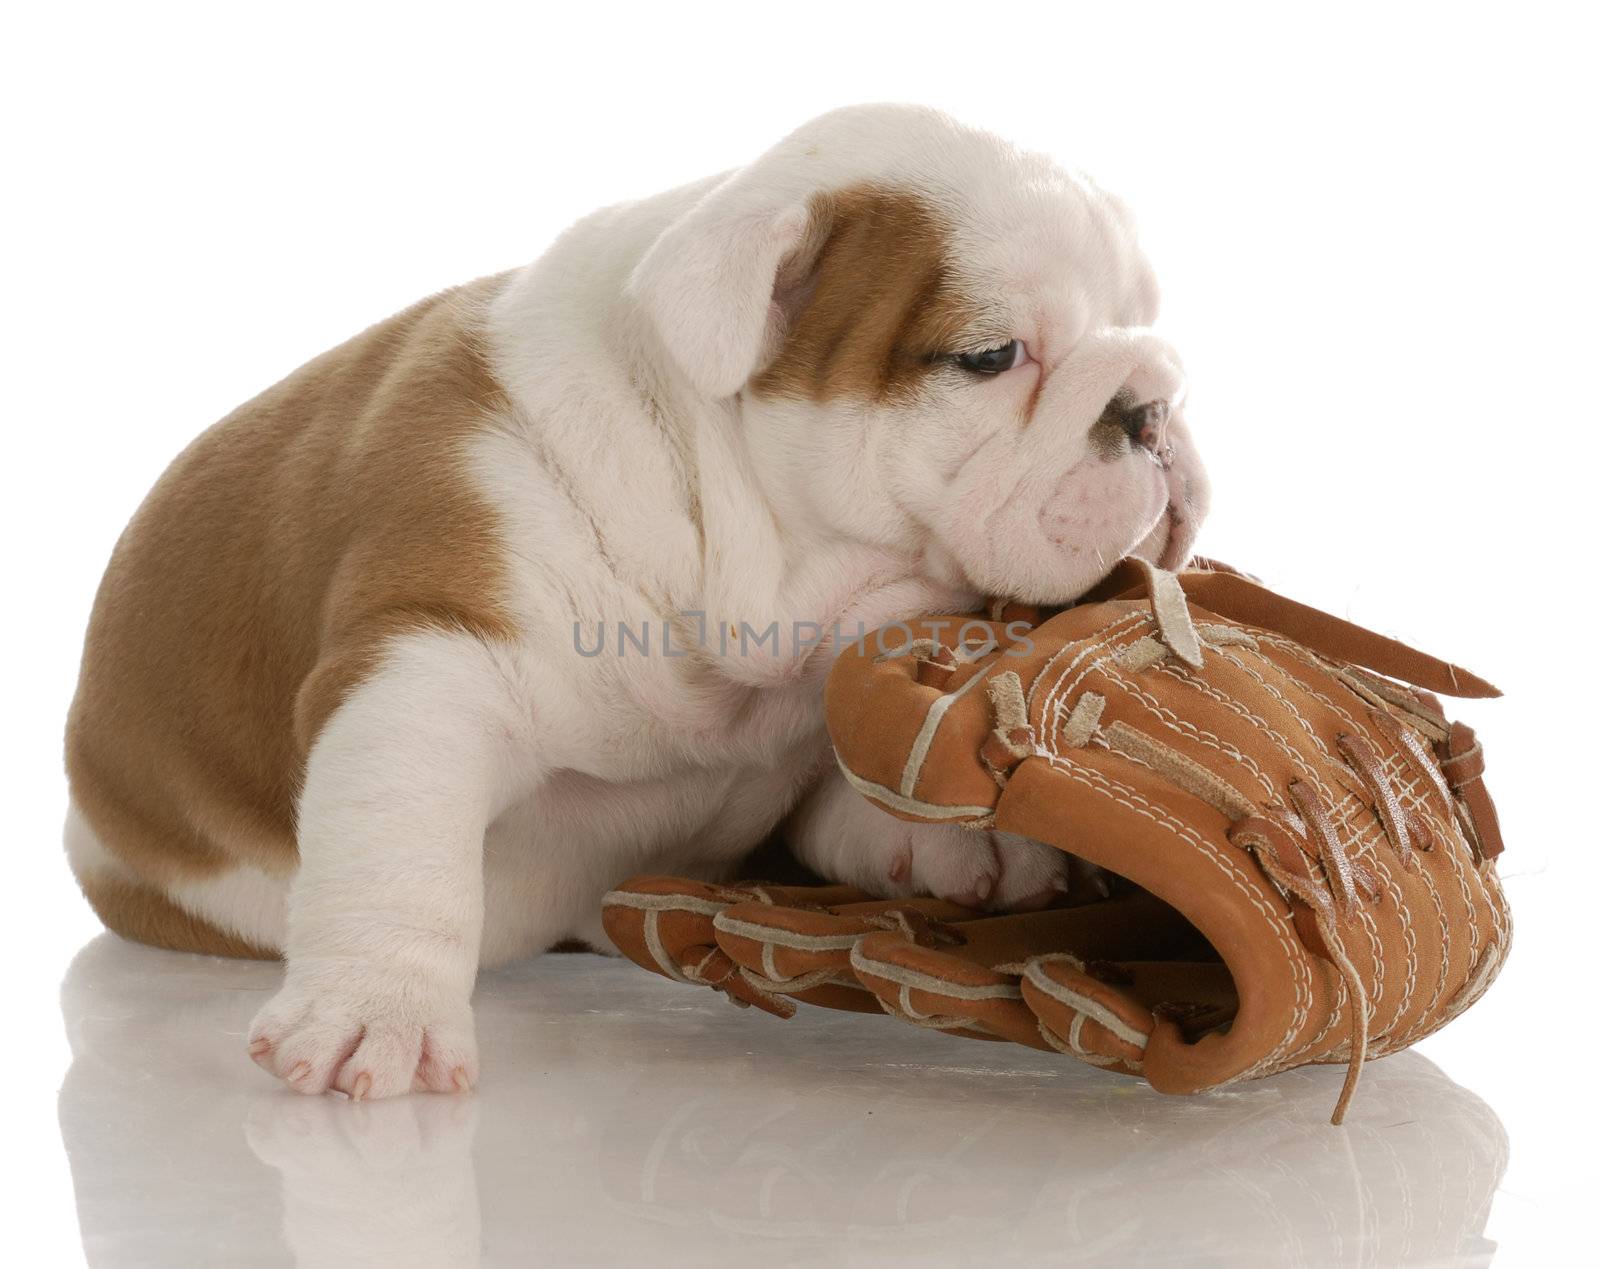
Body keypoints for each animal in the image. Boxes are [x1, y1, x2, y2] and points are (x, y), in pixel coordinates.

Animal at [65, 106, 1209, 1100]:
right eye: (990, 357)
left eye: (1145, 320)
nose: (1156, 400)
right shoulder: (430, 661)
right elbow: (399, 845)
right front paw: (374, 1011)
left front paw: (954, 840)